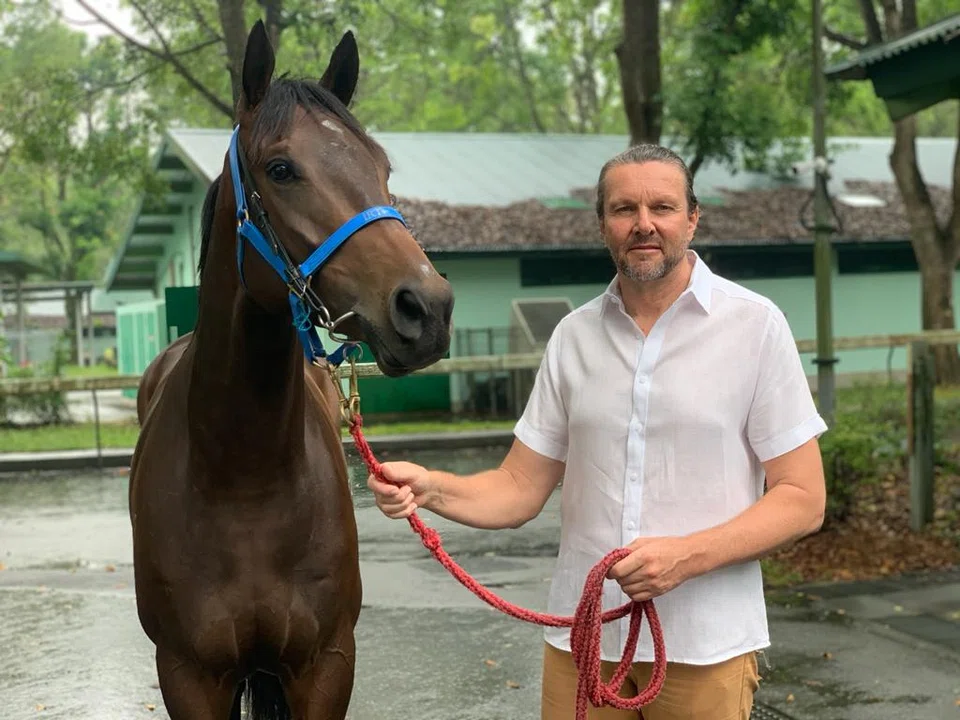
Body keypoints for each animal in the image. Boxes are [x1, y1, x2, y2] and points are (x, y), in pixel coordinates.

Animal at [130, 21, 454, 720]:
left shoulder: (325, 664)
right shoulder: (188, 675)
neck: (243, 478)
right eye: (281, 169)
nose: (428, 309)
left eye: (383, 167)